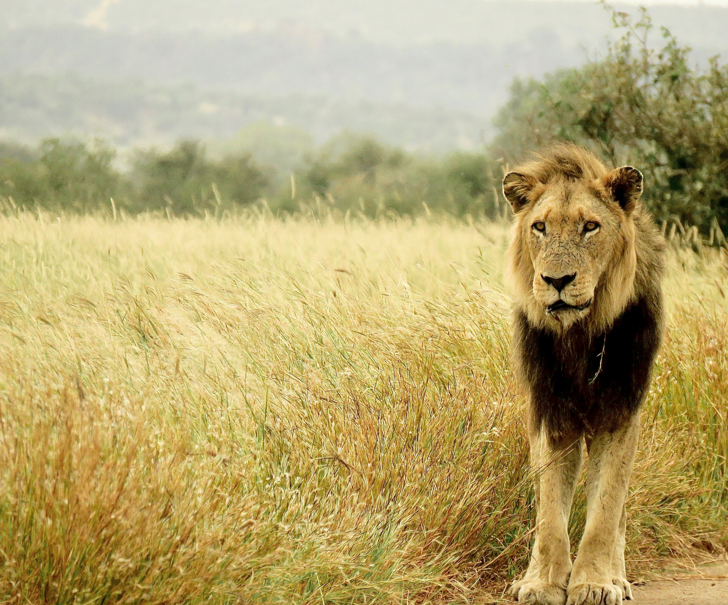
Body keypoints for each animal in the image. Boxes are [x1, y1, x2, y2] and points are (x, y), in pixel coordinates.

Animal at [502, 145, 665, 605]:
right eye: (539, 227)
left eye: (590, 227)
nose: (556, 280)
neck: (579, 333)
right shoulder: (549, 412)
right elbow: (548, 511)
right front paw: (541, 583)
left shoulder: (620, 412)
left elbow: (606, 511)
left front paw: (594, 583)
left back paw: (617, 576)